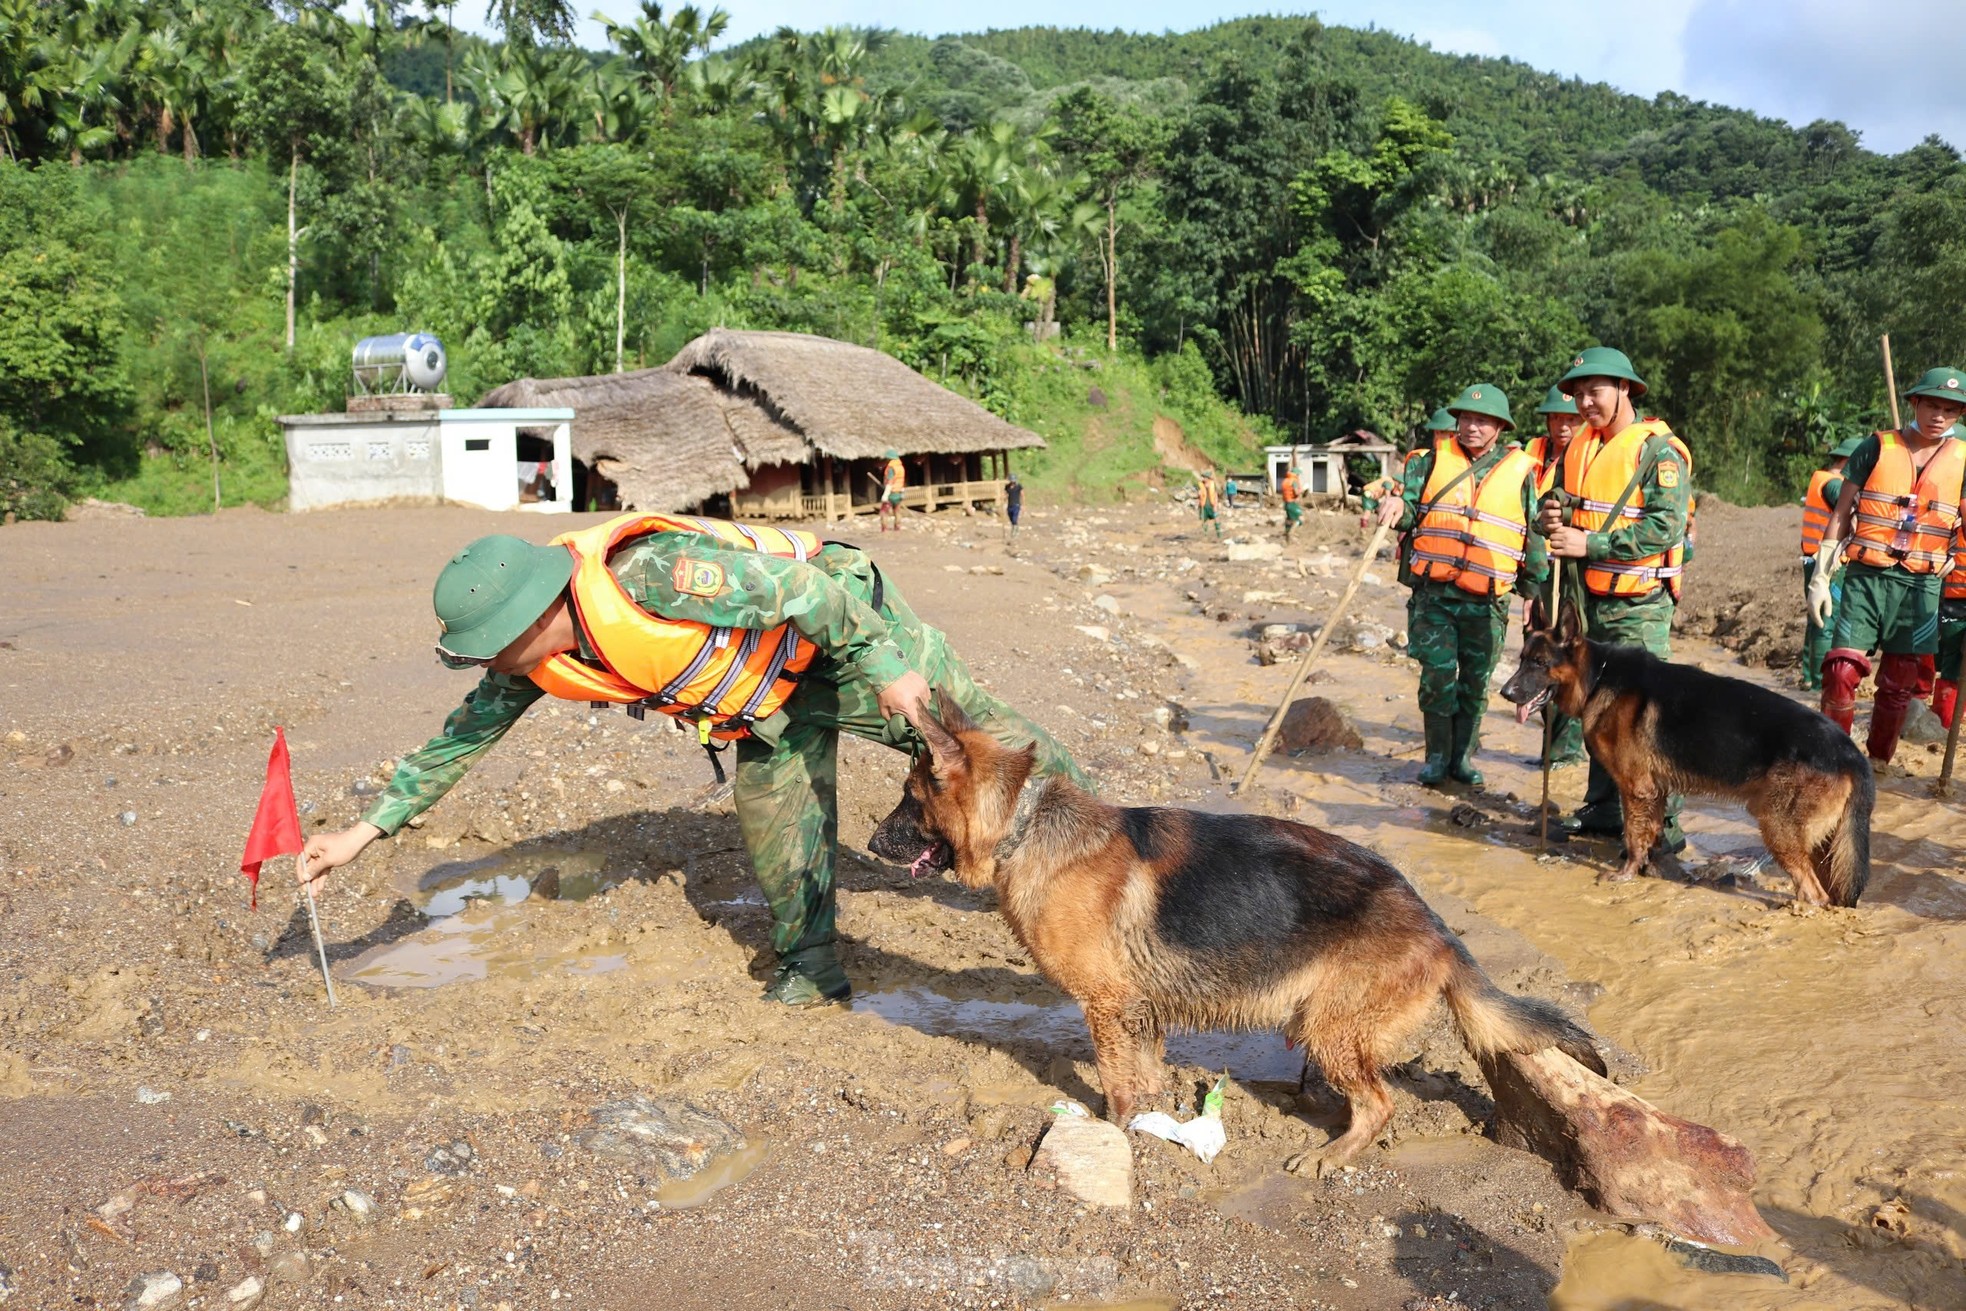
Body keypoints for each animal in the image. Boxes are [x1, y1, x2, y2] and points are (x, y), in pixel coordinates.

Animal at [868, 691, 1604, 1171]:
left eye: (908, 797)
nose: (871, 841)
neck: (1020, 825)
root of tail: (1439, 928)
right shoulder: (1140, 1007)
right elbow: (1146, 1072)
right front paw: (1152, 1116)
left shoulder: (1105, 1005)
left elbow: (1114, 1080)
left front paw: (1113, 1129)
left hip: (1331, 1029)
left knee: (1380, 1103)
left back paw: (1331, 1155)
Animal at [1502, 601, 1871, 908]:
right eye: (1521, 660)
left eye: (1539, 663)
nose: (1506, 692)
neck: (1598, 677)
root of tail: (1851, 752)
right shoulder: (1654, 792)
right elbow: (1650, 834)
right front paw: (1650, 868)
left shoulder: (1635, 789)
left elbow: (1632, 834)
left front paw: (1626, 874)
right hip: (1821, 845)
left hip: (1778, 827)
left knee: (1813, 893)